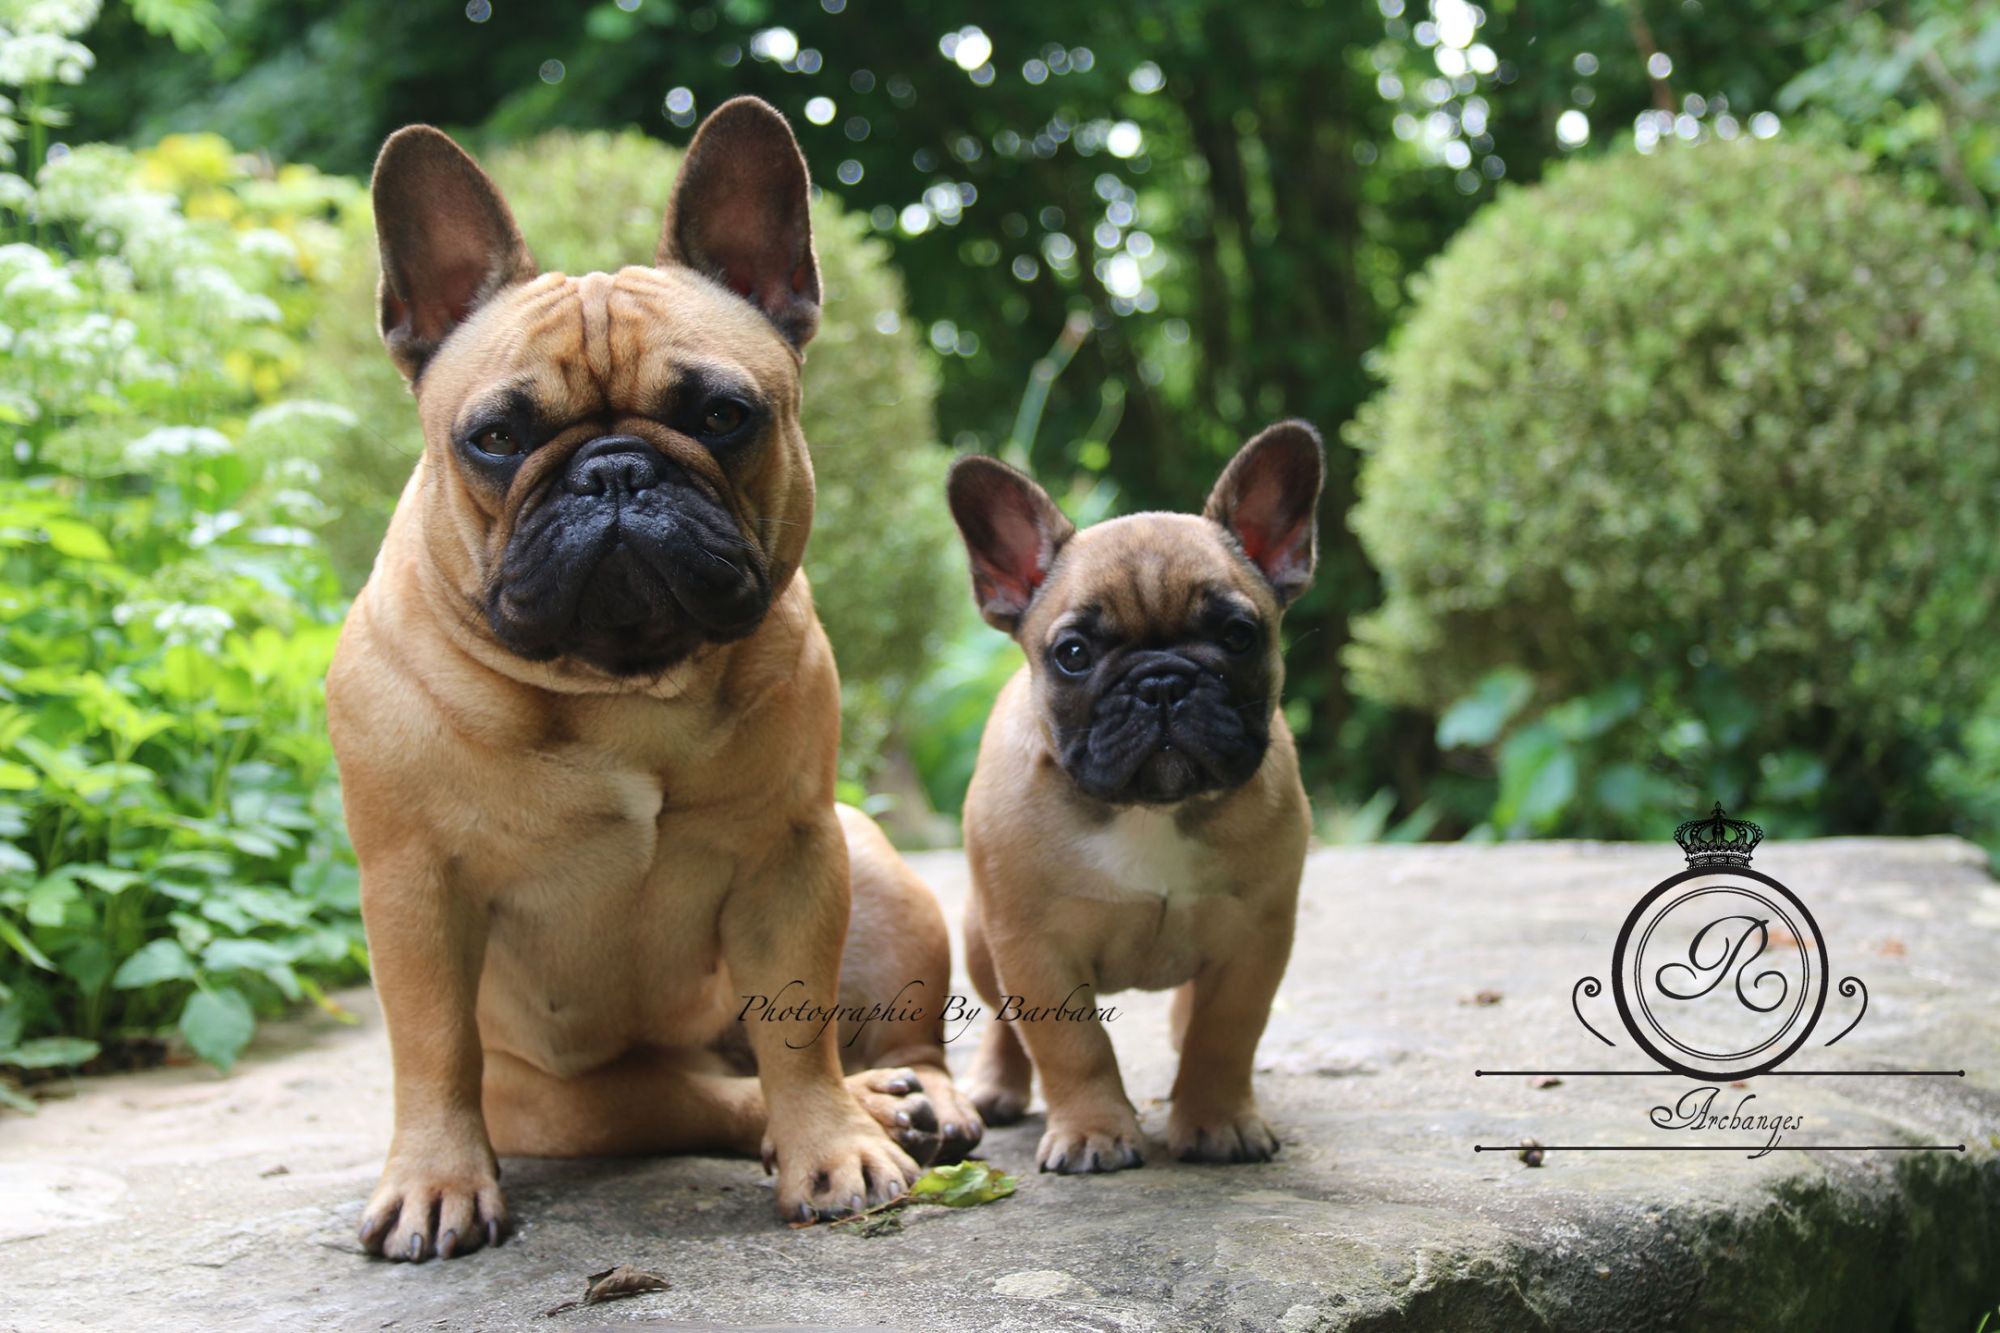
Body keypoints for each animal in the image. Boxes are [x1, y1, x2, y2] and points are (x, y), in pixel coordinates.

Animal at [326, 98, 978, 1261]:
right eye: (496, 437)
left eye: (723, 415)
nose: (615, 468)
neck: (616, 689)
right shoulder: (413, 884)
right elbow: (433, 1046)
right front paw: (435, 1182)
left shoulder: (790, 856)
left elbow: (801, 1029)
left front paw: (833, 1150)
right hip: (565, 1097)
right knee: (703, 1096)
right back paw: (863, 1108)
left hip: (873, 866)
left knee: (863, 1039)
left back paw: (908, 1099)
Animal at [944, 423, 1323, 1172]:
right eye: (1073, 653)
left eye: (1239, 635)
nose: (1162, 682)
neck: (1151, 809)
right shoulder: (1034, 945)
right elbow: (1072, 1044)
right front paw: (1093, 1130)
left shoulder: (1256, 935)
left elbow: (1225, 1033)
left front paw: (1217, 1119)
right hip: (978, 931)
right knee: (1002, 1020)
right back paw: (996, 1087)